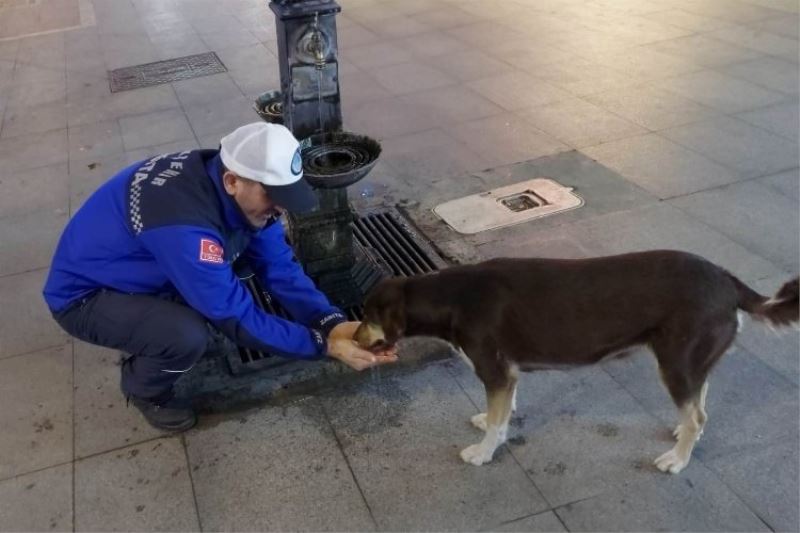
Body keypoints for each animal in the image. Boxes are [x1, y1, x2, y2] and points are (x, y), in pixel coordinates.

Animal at [356, 250, 800, 474]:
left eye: (367, 315)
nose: (354, 338)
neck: (452, 297)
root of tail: (727, 279)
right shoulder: (508, 375)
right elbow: (503, 411)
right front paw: (492, 429)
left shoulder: (495, 371)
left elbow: (498, 420)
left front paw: (484, 451)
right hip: (690, 361)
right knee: (699, 402)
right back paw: (683, 437)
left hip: (675, 363)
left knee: (697, 415)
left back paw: (677, 460)